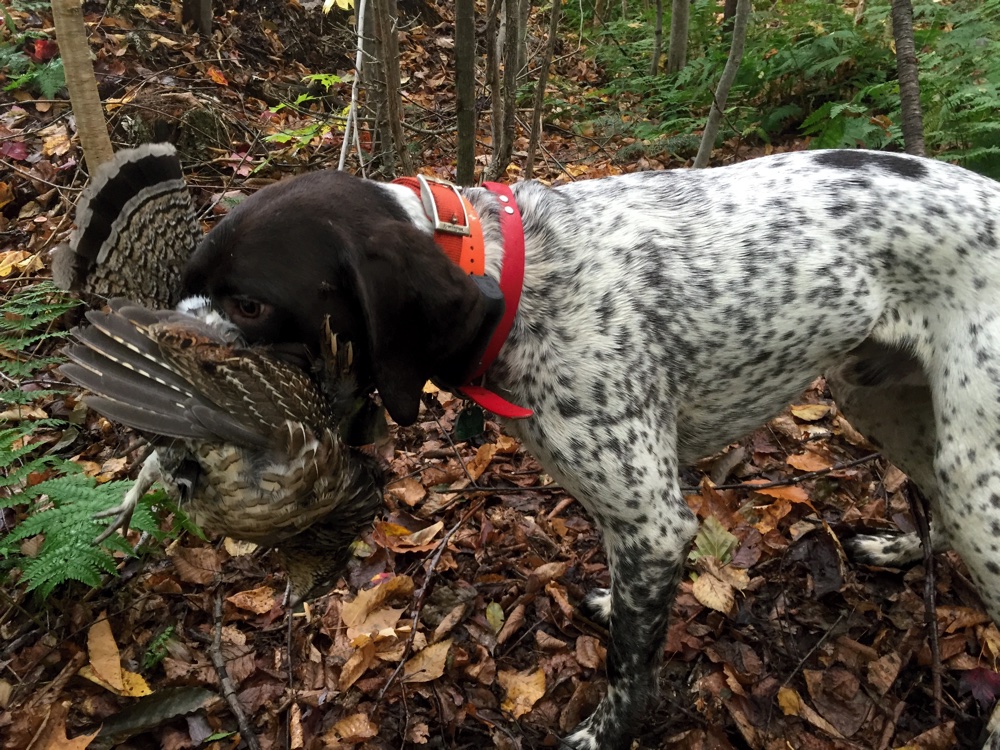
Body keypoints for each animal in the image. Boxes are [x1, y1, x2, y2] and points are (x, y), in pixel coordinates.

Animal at [178, 150, 1000, 748]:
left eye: (249, 304)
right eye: (182, 284)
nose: (168, 354)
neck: (514, 279)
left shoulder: (653, 521)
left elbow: (629, 668)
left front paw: (604, 736)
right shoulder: (632, 525)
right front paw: (612, 604)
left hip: (970, 471)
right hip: (887, 406)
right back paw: (903, 549)